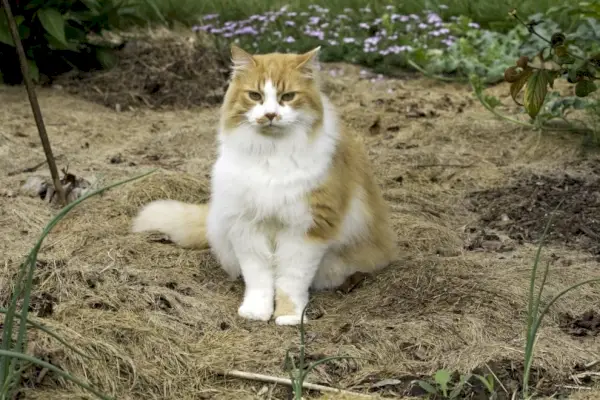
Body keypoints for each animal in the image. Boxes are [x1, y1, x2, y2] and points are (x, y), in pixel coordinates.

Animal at [131, 44, 396, 324]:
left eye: (288, 96)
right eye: (255, 96)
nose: (270, 115)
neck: (271, 154)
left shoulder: (306, 228)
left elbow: (291, 281)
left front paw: (290, 317)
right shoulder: (247, 226)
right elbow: (259, 279)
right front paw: (257, 312)